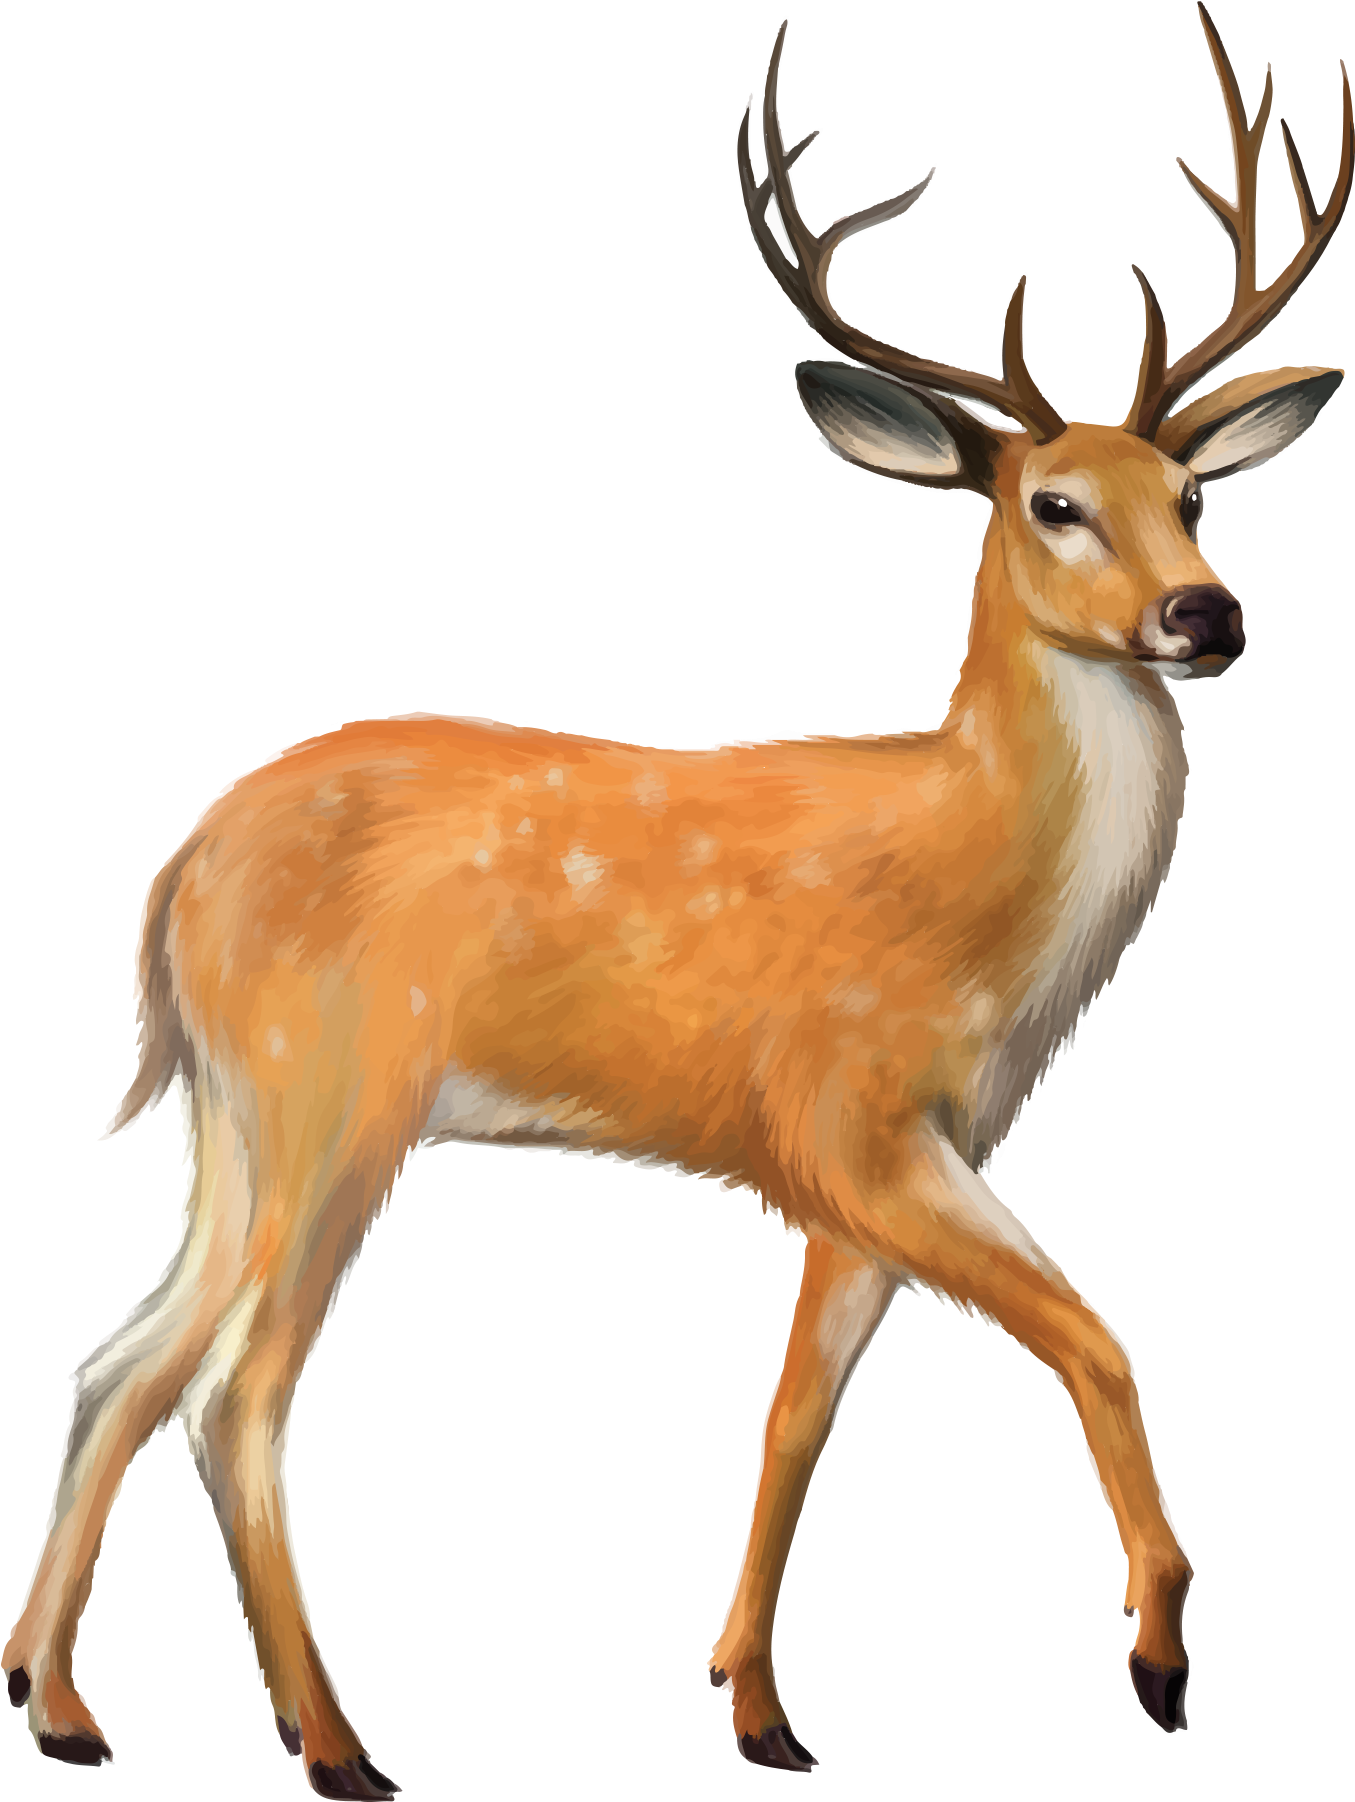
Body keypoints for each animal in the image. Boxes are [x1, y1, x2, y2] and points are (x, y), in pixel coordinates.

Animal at [4, 5, 1350, 1790]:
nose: (1205, 616)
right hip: (334, 1092)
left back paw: (58, 1703)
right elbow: (1092, 1334)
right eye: (1052, 503)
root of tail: (169, 887)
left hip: (230, 1112)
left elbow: (793, 1407)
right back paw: (335, 1741)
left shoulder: (900, 1151)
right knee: (237, 1387)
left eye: (1189, 499)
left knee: (119, 1361)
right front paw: (1154, 1658)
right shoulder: (840, 1113)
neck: (981, 897)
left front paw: (760, 1705)